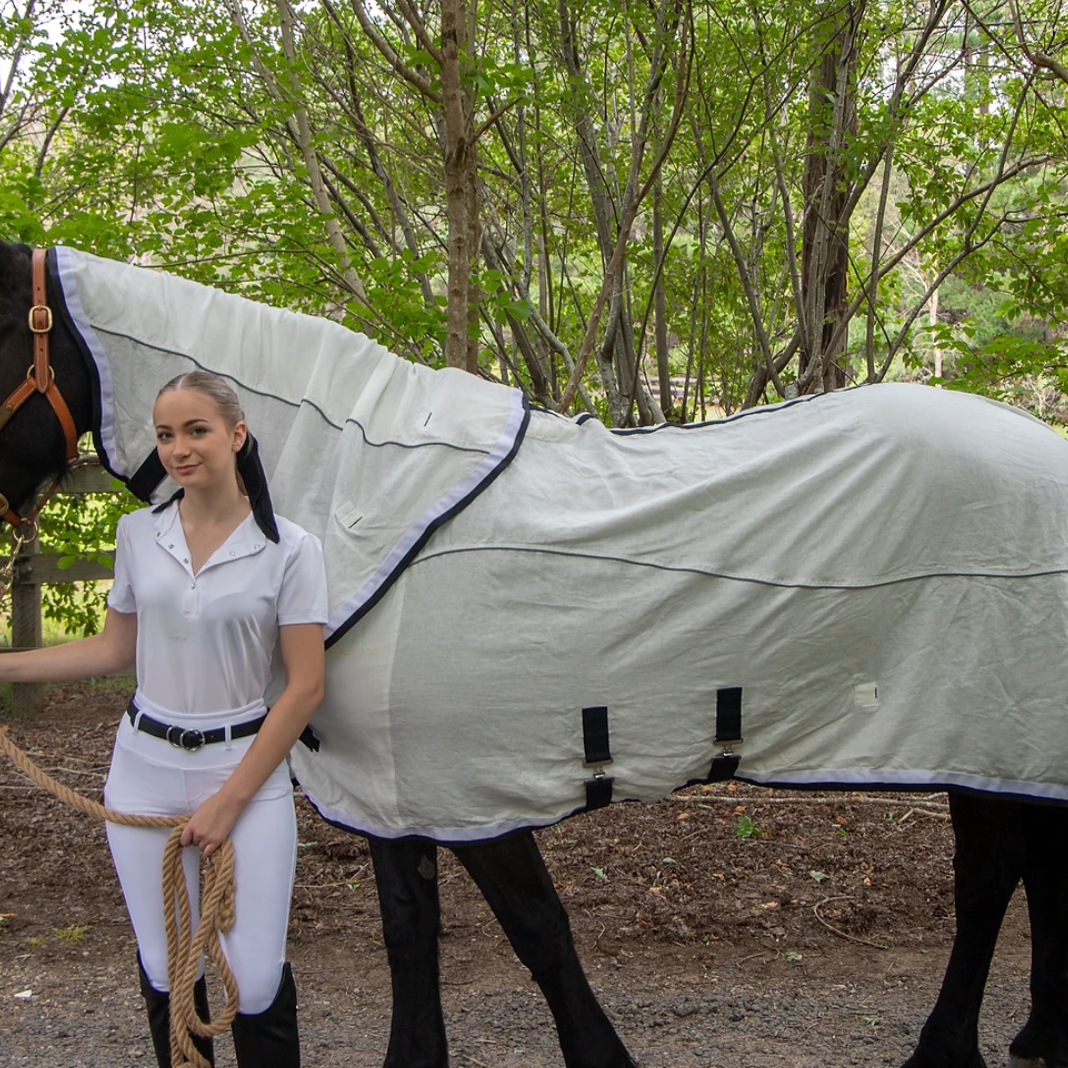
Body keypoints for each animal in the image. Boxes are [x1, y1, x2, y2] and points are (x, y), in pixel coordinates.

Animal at [0, 240, 1066, 1068]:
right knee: (1028, 870)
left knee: (988, 881)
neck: (360, 486)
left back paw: (948, 1049)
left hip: (980, 726)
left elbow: (541, 937)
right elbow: (412, 936)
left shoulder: (465, 789)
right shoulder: (395, 789)